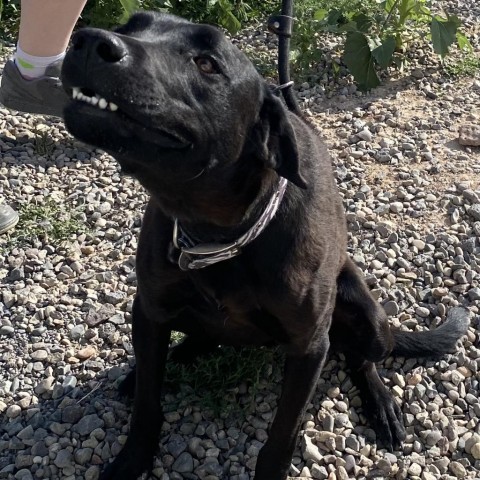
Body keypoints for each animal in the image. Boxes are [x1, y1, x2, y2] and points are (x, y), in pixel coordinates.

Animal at [61, 12, 468, 480]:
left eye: (207, 63)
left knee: (363, 358)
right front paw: (133, 458)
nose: (88, 42)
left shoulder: (310, 346)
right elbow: (148, 401)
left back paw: (380, 402)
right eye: (132, 25)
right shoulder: (148, 308)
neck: (218, 234)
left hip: (369, 318)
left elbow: (282, 435)